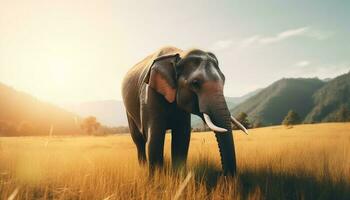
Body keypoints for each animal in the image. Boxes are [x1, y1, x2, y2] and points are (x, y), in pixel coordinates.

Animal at [121, 46, 247, 174]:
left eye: (224, 80)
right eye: (195, 83)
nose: (225, 176)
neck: (179, 55)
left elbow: (182, 137)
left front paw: (178, 176)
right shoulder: (149, 93)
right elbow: (155, 137)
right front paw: (157, 177)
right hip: (128, 111)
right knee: (139, 140)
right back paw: (143, 168)